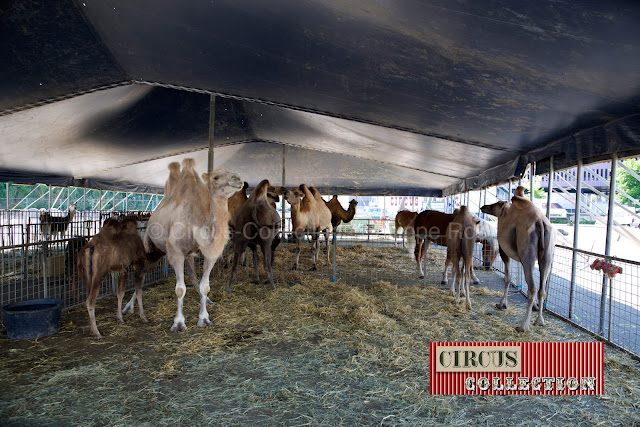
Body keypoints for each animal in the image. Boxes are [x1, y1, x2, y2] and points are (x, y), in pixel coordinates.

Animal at [145, 159, 242, 332]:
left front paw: (204, 318)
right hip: (151, 245)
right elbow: (180, 289)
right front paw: (178, 323)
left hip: (189, 254)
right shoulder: (176, 252)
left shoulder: (210, 254)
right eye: (216, 177)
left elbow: (205, 286)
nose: (237, 179)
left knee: (192, 274)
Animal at [480, 186, 556, 332]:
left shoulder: (504, 252)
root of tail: (540, 222)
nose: (483, 206)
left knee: (532, 288)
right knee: (541, 289)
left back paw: (523, 326)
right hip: (546, 256)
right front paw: (534, 307)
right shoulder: (521, 257)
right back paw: (540, 321)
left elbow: (507, 278)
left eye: (494, 204)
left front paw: (502, 304)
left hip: (528, 253)